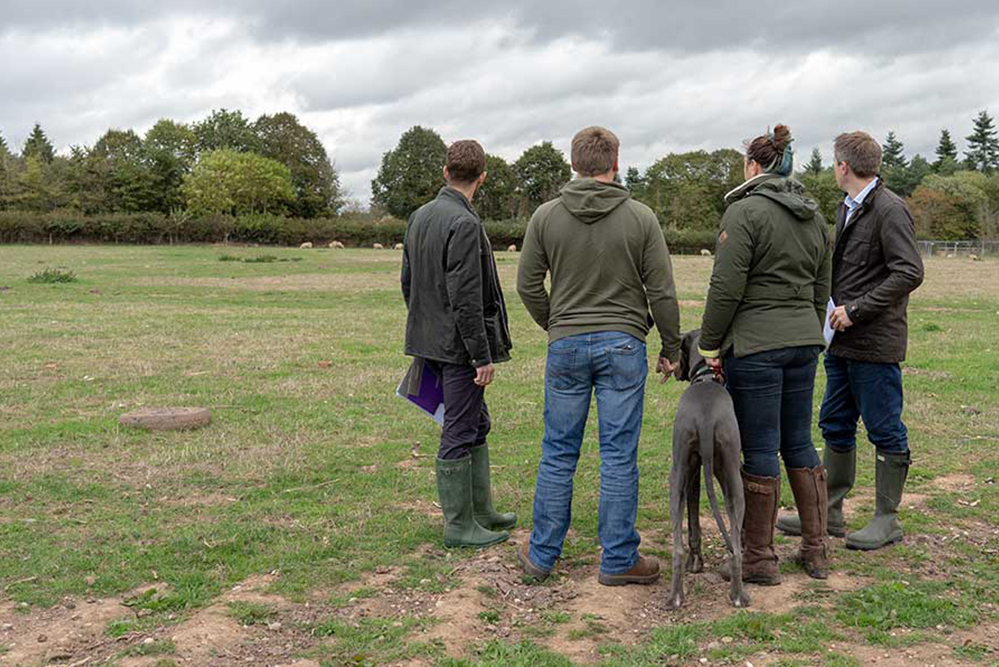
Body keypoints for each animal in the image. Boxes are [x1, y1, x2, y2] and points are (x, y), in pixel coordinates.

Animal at [668, 328, 748, 612]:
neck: (706, 377)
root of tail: (705, 419)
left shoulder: (691, 477)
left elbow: (692, 526)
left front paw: (696, 564)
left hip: (676, 479)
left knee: (677, 549)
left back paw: (675, 598)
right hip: (734, 481)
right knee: (736, 549)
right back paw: (739, 596)